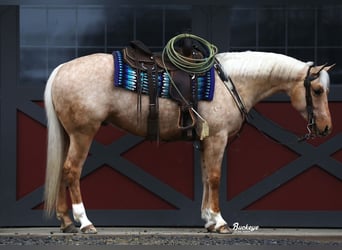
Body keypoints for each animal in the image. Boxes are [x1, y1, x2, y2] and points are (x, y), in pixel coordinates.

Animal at [44, 50, 332, 234]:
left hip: (69, 135)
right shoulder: (217, 138)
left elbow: (205, 178)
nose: (327, 127)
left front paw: (209, 220)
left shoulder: (206, 141)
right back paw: (84, 222)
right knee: (71, 171)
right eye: (317, 91)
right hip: (83, 133)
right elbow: (214, 178)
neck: (231, 83)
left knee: (61, 172)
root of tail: (60, 70)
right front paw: (220, 222)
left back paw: (66, 222)